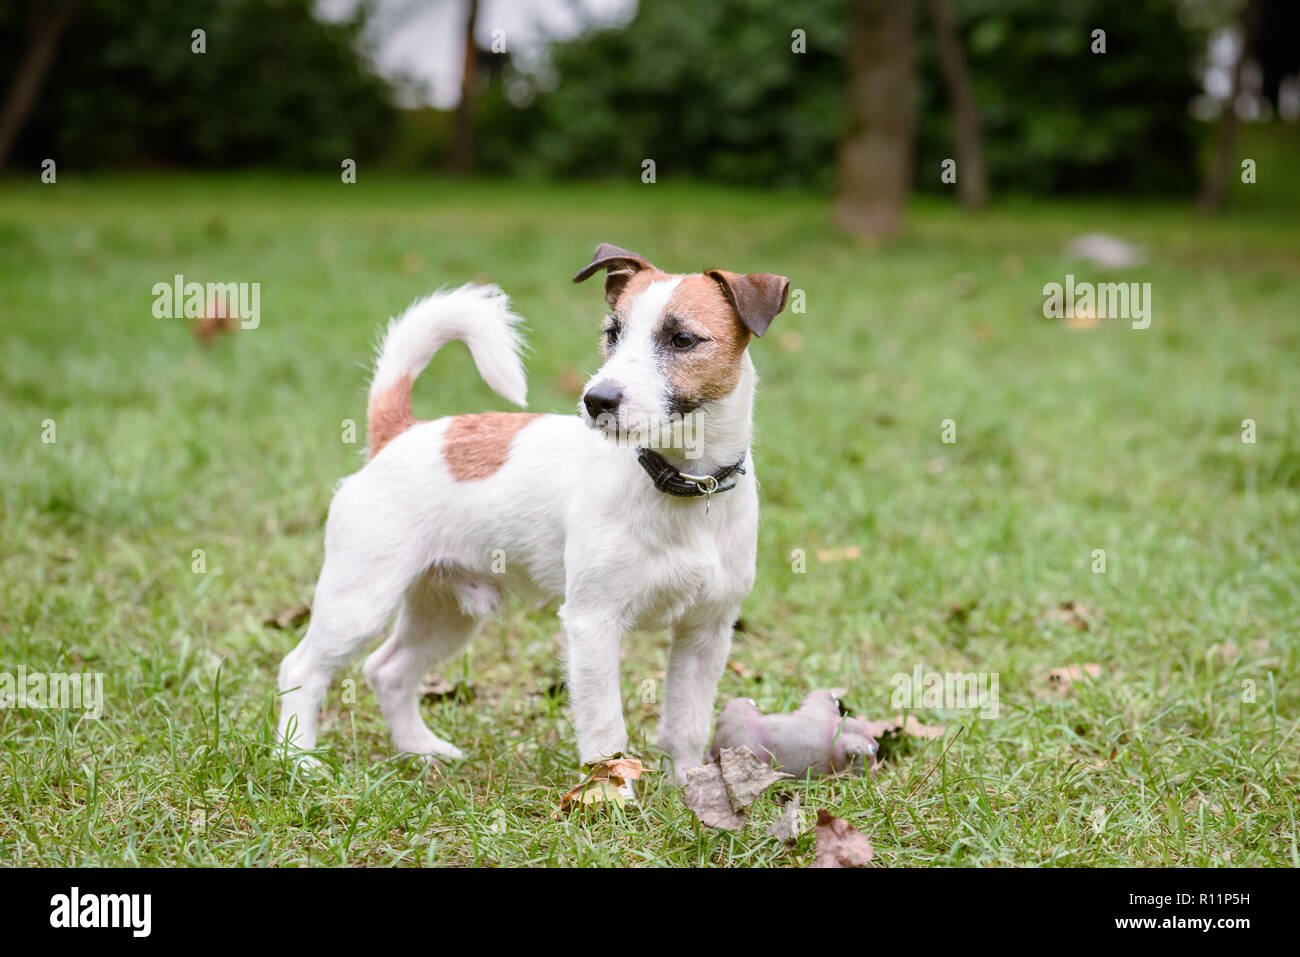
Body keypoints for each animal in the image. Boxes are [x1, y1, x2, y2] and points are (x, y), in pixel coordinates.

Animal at [274, 243, 790, 780]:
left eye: (683, 339)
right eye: (612, 333)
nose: (597, 399)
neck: (683, 483)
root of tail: (400, 432)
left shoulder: (705, 632)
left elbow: (687, 723)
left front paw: (691, 786)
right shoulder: (592, 624)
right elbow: (605, 733)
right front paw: (612, 792)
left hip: (445, 613)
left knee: (388, 670)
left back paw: (421, 749)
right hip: (358, 600)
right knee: (302, 668)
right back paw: (299, 760)